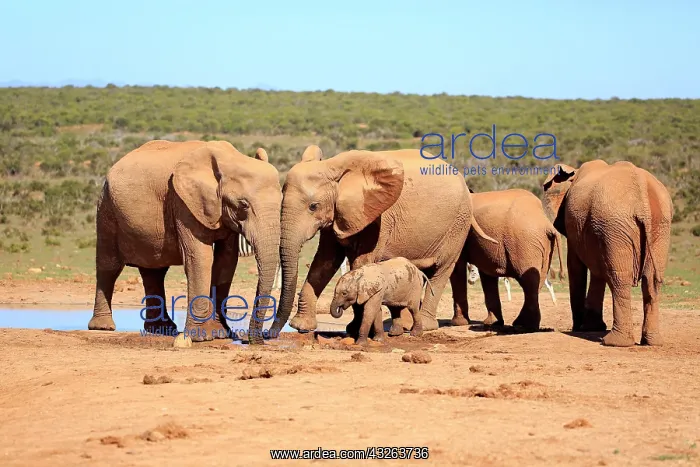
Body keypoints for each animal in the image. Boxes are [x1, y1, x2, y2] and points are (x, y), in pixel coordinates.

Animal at [87, 139, 282, 345]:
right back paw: (103, 327)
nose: (247, 340)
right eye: (243, 204)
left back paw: (161, 330)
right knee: (109, 266)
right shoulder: (183, 202)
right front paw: (201, 337)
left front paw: (221, 334)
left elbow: (226, 262)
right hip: (106, 207)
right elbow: (200, 258)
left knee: (154, 272)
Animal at [269, 145, 497, 340]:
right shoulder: (338, 214)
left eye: (313, 206)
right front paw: (302, 326)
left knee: (443, 269)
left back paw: (425, 325)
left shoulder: (378, 217)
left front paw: (356, 330)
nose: (270, 335)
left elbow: (360, 264)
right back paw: (406, 326)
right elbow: (324, 262)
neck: (335, 168)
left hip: (457, 224)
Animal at [450, 188, 563, 330]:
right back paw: (523, 324)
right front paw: (492, 324)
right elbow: (487, 274)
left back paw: (525, 326)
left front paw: (458, 323)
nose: (471, 281)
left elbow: (457, 268)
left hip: (525, 242)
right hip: (543, 245)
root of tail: (547, 224)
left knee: (529, 281)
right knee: (538, 280)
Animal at [542, 160, 673, 347]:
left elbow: (576, 267)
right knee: (651, 279)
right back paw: (652, 342)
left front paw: (580, 328)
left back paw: (614, 342)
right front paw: (591, 327)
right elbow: (597, 271)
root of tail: (643, 197)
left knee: (620, 278)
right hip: (658, 225)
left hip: (616, 223)